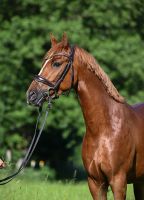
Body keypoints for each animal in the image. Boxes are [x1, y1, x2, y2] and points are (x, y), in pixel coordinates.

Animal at [27, 33, 144, 199]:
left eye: (56, 63)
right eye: (44, 62)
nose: (31, 95)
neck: (105, 129)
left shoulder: (118, 182)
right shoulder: (95, 183)